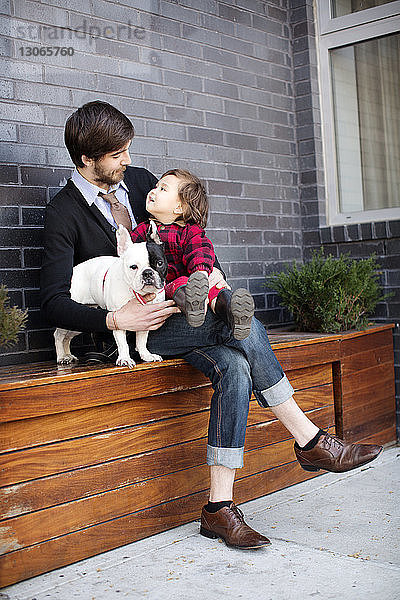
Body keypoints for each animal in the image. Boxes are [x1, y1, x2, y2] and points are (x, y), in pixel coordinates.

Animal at [53, 221, 167, 366]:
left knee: (67, 337)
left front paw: (146, 355)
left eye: (159, 263)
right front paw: (124, 358)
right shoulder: (119, 319)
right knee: (59, 335)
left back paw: (68, 355)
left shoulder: (146, 320)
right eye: (133, 267)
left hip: (78, 322)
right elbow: (123, 343)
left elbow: (142, 340)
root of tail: (74, 271)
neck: (138, 293)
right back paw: (62, 357)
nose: (147, 272)